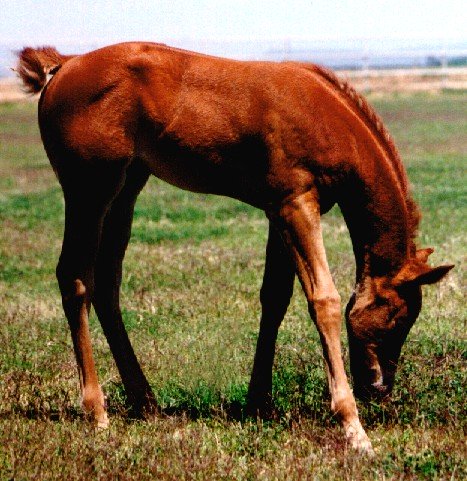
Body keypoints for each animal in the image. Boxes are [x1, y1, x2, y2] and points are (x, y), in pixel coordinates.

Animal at [17, 41, 454, 450]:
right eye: (397, 316)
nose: (379, 388)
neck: (328, 118)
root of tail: (64, 65)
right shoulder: (297, 205)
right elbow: (324, 301)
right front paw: (352, 425)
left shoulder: (278, 210)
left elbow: (275, 298)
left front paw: (259, 403)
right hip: (89, 190)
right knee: (75, 278)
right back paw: (97, 411)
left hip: (126, 188)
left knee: (108, 284)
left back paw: (146, 402)